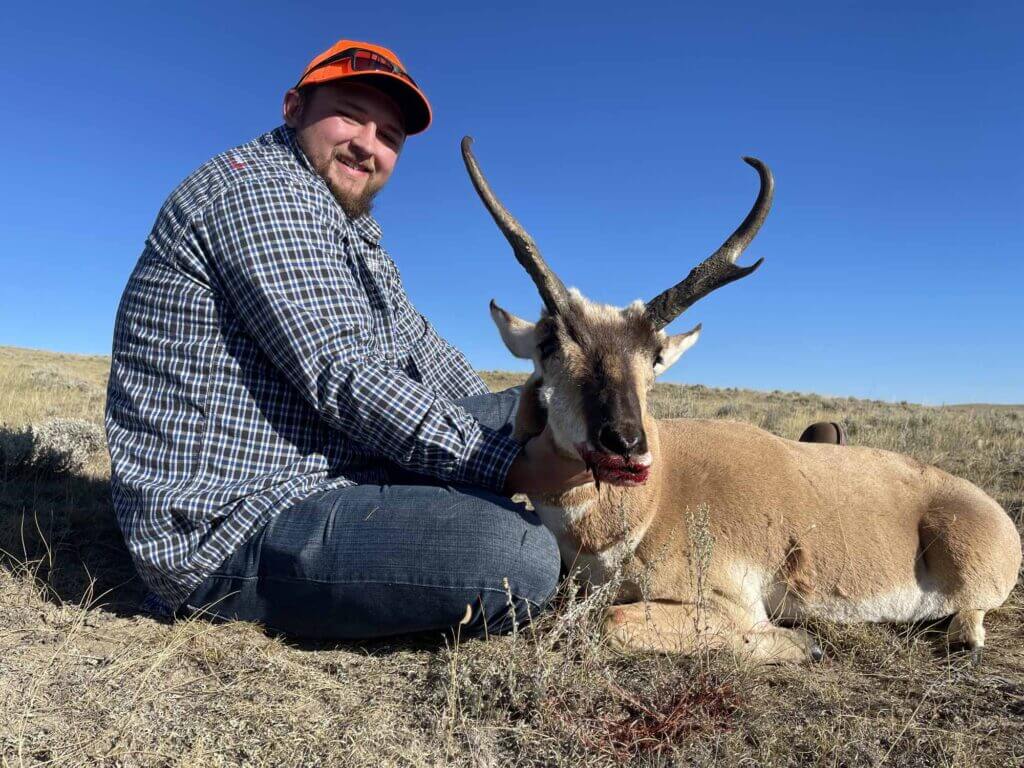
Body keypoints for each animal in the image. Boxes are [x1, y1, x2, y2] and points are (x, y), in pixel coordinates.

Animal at [461, 137, 1021, 664]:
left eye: (654, 356)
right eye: (549, 344)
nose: (625, 441)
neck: (658, 495)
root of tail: (983, 503)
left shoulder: (726, 603)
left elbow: (610, 621)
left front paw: (802, 644)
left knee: (972, 613)